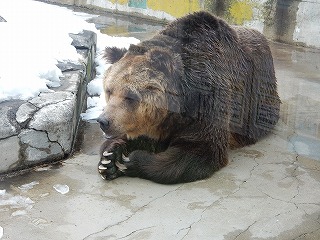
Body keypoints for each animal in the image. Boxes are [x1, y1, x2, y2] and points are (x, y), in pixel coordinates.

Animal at [97, 10, 280, 184]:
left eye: (130, 96)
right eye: (109, 90)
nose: (103, 121)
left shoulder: (208, 99)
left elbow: (201, 150)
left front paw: (130, 161)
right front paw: (110, 159)